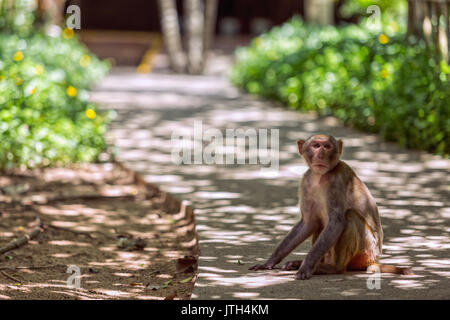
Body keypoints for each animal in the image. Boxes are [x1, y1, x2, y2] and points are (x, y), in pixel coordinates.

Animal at [250, 134, 412, 278]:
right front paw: (270, 262)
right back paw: (303, 263)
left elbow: (336, 222)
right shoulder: (306, 181)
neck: (320, 176)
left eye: (327, 146)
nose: (321, 154)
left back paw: (333, 268)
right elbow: (308, 223)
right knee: (320, 224)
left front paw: (306, 266)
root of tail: (374, 259)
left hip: (366, 251)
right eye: (316, 146)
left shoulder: (336, 182)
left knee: (349, 217)